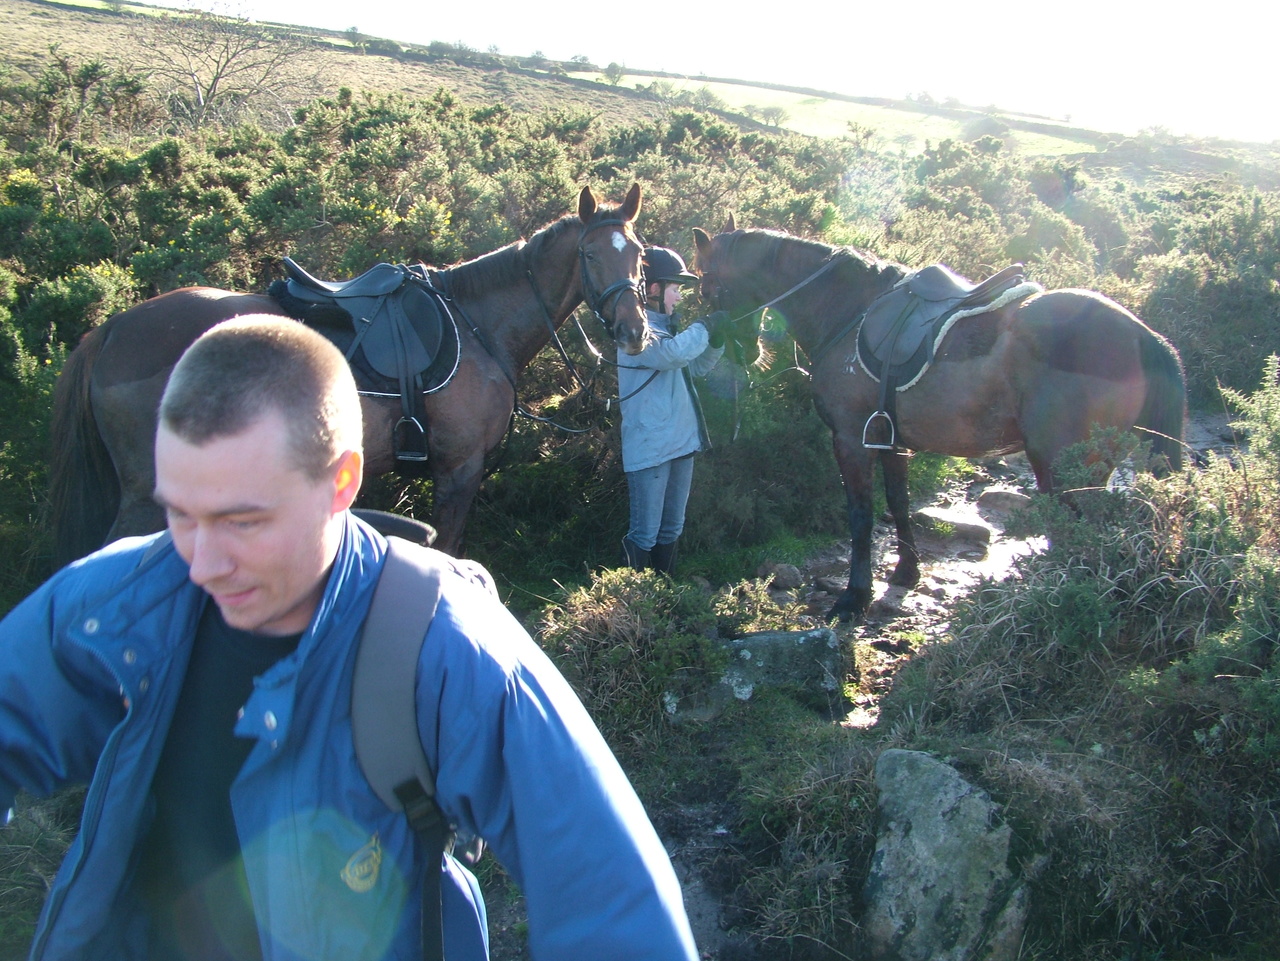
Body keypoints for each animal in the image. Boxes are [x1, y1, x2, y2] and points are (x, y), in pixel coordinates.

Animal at [49, 184, 650, 568]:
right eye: (590, 254)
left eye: (640, 255)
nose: (633, 330)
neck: (478, 326)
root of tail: (113, 329)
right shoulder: (459, 469)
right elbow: (447, 547)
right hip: (145, 492)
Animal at [696, 220, 1182, 624]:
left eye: (706, 287)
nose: (742, 351)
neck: (848, 310)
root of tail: (1143, 336)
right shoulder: (888, 439)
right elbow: (898, 504)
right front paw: (906, 573)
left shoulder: (851, 439)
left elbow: (861, 516)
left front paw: (854, 597)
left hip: (1065, 469)